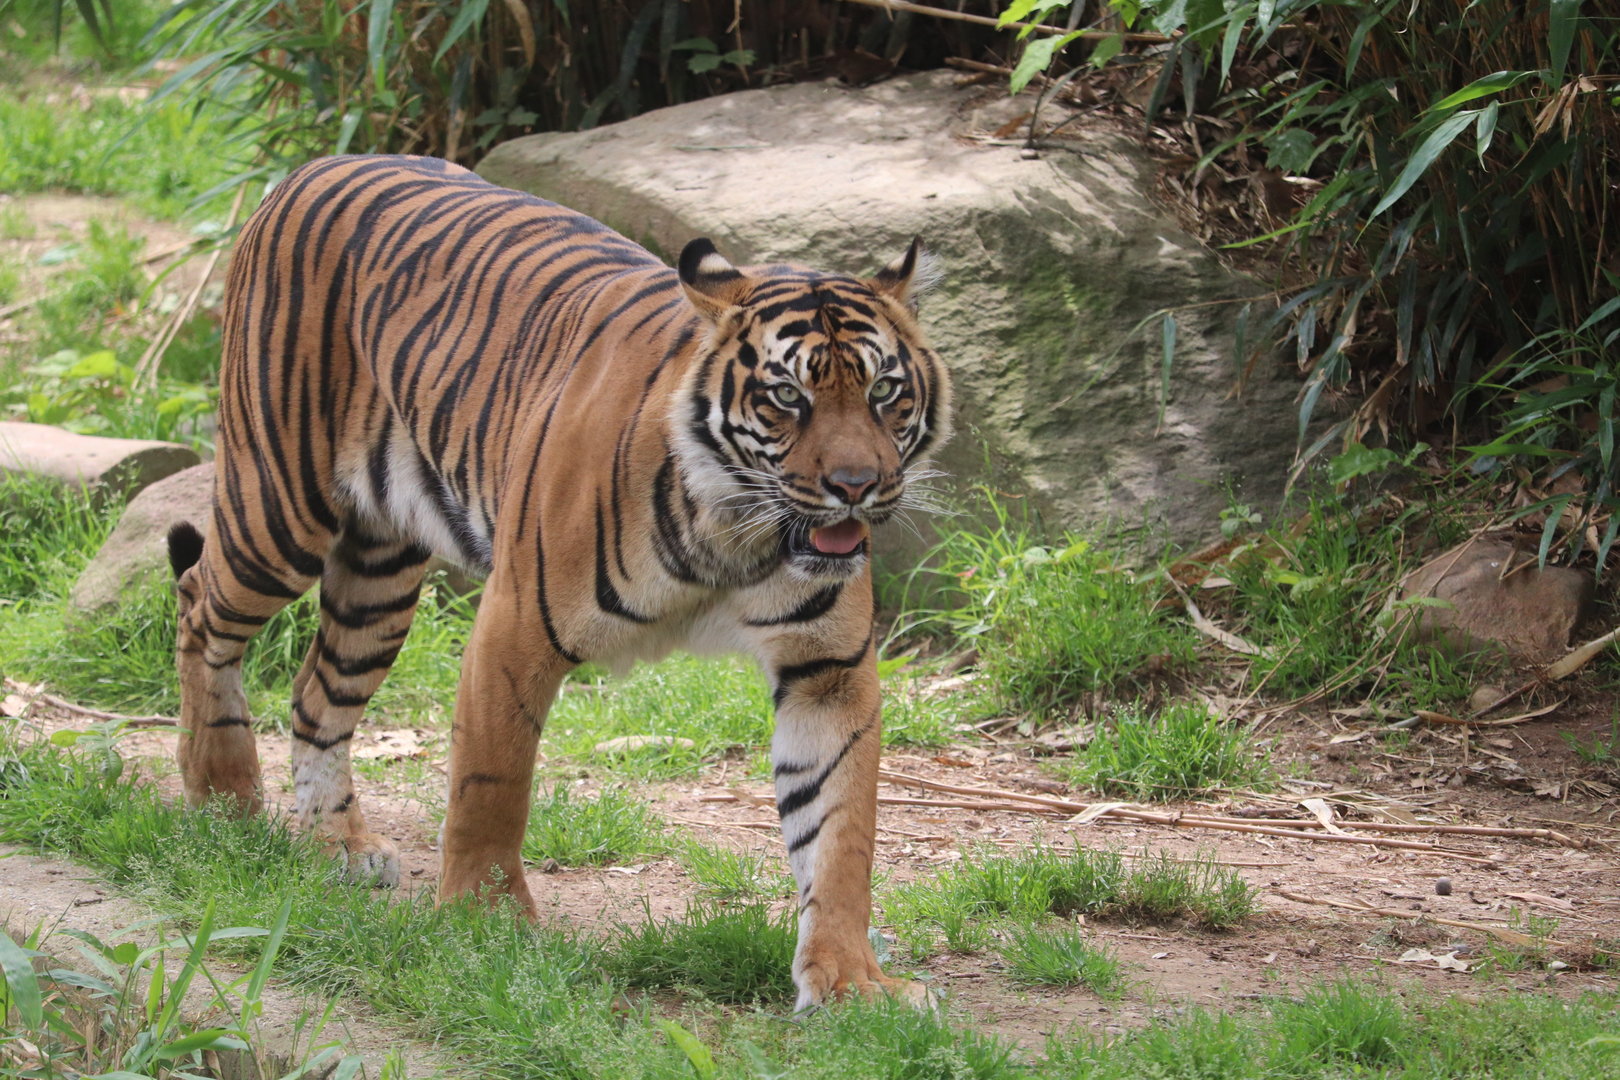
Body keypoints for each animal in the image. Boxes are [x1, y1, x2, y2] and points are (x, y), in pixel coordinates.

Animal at [164, 154, 952, 1011]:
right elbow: (492, 784)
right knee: (200, 605)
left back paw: (338, 841)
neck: (736, 533)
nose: (857, 486)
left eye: (884, 392)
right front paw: (485, 925)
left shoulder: (828, 671)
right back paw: (223, 796)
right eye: (787, 396)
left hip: (380, 572)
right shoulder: (515, 627)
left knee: (317, 690)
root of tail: (316, 166)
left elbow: (839, 829)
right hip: (279, 512)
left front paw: (851, 981)